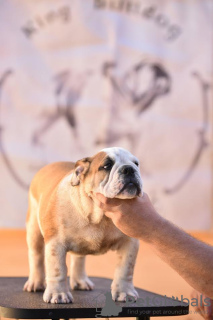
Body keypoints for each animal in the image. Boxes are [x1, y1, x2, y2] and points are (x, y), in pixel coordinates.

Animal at [23, 147, 143, 302]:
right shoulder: (55, 243)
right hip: (33, 229)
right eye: (107, 165)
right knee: (36, 255)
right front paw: (58, 294)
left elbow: (125, 269)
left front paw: (124, 292)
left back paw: (80, 281)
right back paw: (35, 283)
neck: (100, 216)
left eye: (136, 164)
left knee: (78, 258)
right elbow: (57, 269)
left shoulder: (130, 243)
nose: (129, 169)